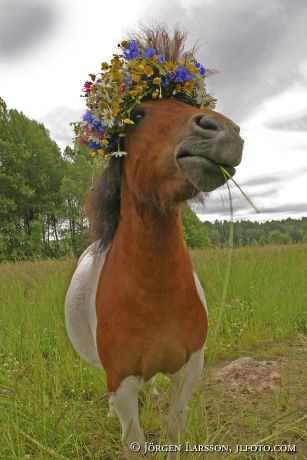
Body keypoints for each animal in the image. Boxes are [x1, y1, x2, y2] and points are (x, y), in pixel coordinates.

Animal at [66, 96, 244, 456]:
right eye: (137, 114)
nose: (224, 131)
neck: (155, 293)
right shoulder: (120, 382)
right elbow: (133, 441)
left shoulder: (189, 369)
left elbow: (174, 430)